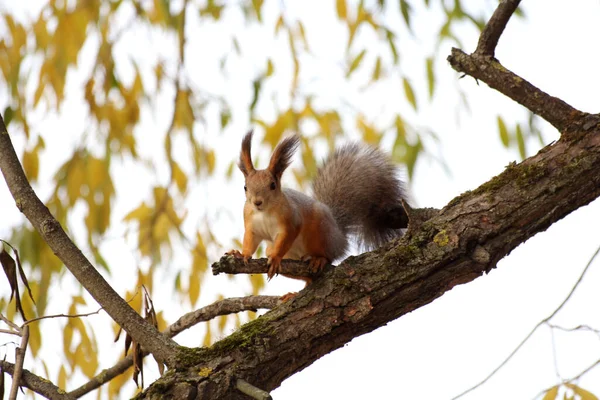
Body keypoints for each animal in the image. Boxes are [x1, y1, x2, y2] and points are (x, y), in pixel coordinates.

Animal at [229, 130, 408, 282]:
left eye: (272, 185)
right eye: (245, 187)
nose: (257, 202)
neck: (264, 212)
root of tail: (339, 236)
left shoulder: (291, 220)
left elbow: (288, 235)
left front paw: (275, 258)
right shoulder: (251, 224)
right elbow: (250, 241)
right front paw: (241, 254)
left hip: (320, 231)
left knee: (329, 255)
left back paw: (319, 260)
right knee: (309, 280)